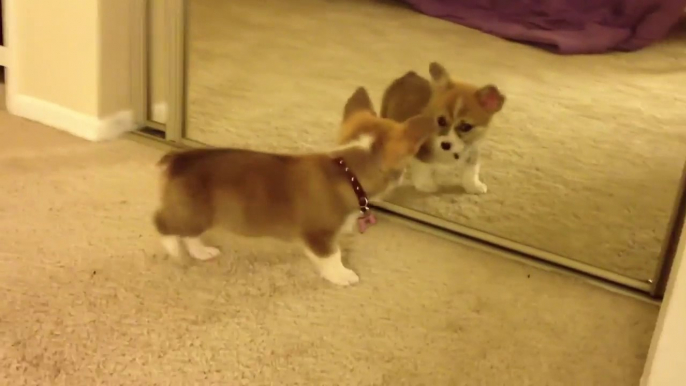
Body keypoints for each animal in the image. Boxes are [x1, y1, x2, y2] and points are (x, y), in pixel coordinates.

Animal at [155, 87, 436, 286]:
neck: (348, 171)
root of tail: (178, 159)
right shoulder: (319, 235)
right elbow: (333, 256)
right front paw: (343, 276)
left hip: (198, 216)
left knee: (188, 235)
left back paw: (202, 252)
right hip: (194, 213)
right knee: (162, 224)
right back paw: (173, 249)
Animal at [382, 63, 506, 196]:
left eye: (466, 126)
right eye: (441, 120)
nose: (445, 145)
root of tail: (409, 75)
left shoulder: (473, 148)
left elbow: (471, 170)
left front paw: (473, 186)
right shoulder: (422, 150)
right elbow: (424, 167)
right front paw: (426, 185)